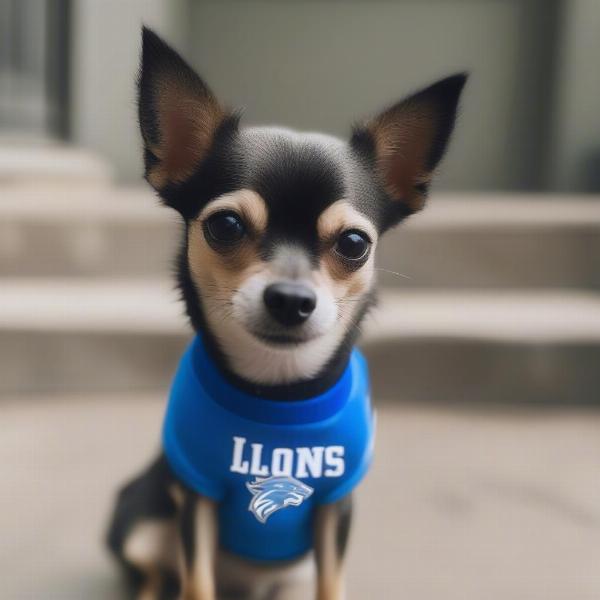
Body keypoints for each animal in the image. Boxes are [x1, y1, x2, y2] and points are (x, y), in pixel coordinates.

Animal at [105, 25, 466, 596]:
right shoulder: (196, 499)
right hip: (140, 520)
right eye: (225, 226)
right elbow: (197, 580)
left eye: (354, 243)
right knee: (159, 574)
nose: (292, 299)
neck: (278, 391)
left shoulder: (335, 508)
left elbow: (332, 582)